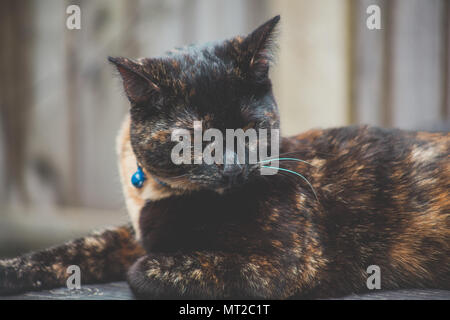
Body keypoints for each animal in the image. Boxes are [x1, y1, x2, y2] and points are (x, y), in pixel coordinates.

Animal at [0, 16, 450, 298]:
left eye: (250, 128)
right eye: (195, 138)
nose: (234, 167)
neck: (156, 196)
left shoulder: (287, 264)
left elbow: (145, 271)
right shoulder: (130, 235)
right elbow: (78, 247)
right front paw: (10, 270)